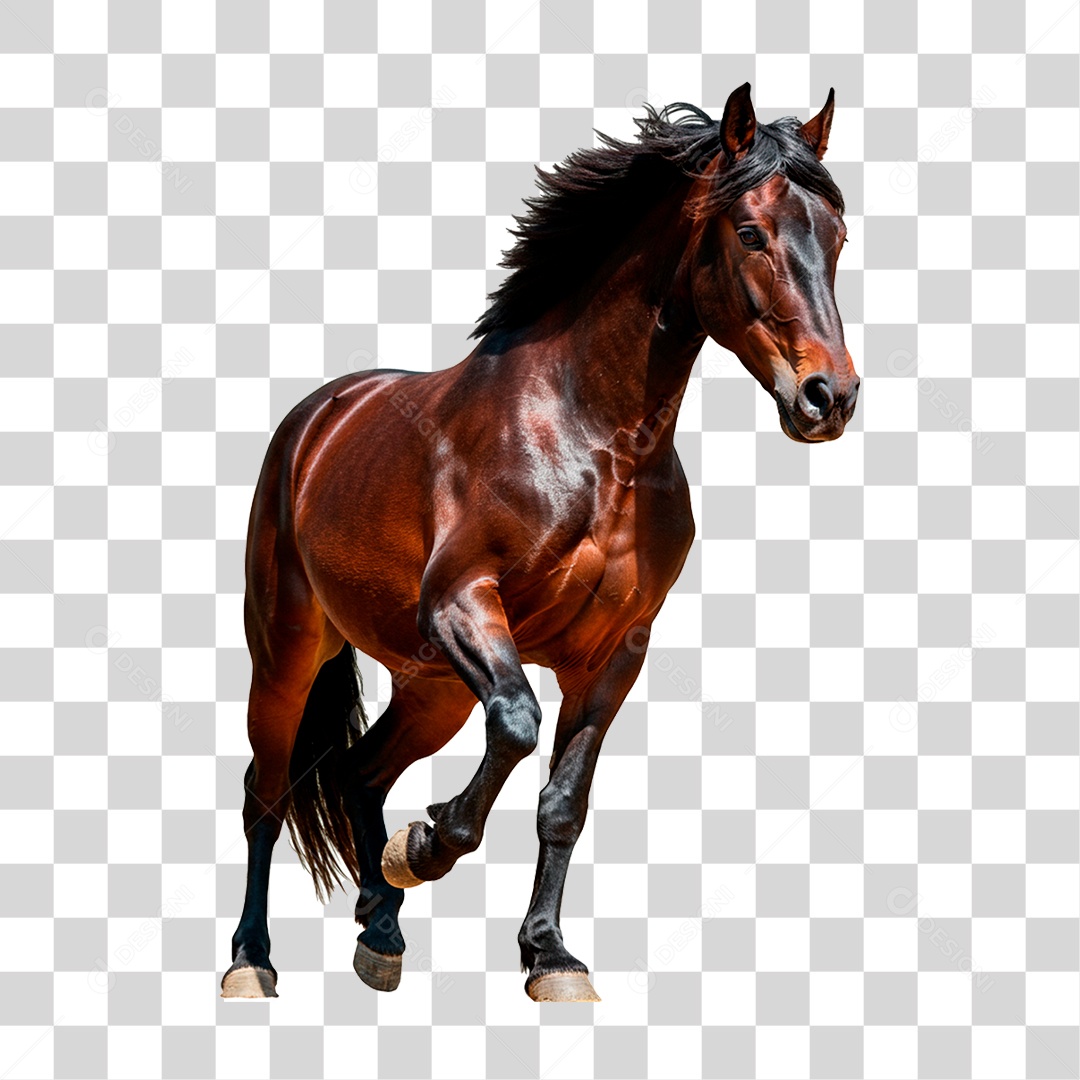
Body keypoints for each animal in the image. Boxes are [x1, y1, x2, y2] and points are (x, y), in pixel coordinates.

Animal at [221, 83, 859, 1003]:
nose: (828, 397)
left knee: (359, 773)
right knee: (267, 794)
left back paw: (381, 928)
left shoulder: (612, 654)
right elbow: (519, 725)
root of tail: (317, 419)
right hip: (288, 655)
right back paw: (253, 959)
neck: (590, 439)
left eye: (838, 234)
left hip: (432, 689)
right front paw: (429, 844)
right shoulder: (463, 605)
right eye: (750, 232)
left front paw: (550, 957)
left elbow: (563, 801)